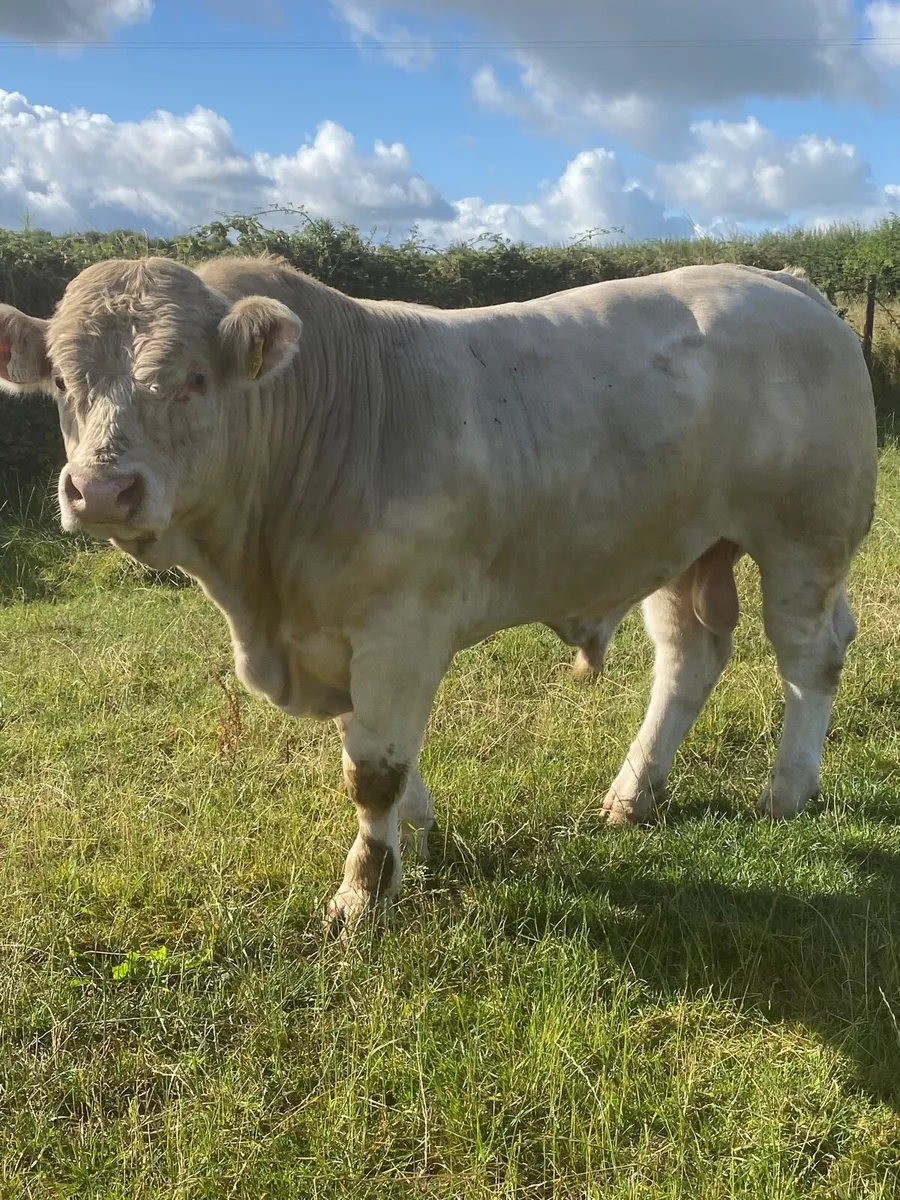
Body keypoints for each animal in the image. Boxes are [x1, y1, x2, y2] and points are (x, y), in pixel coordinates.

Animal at [0, 257, 878, 928]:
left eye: (192, 379)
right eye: (63, 382)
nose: (100, 491)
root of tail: (781, 281)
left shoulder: (398, 626)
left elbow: (372, 770)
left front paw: (361, 894)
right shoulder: (336, 633)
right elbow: (373, 745)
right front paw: (415, 840)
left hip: (805, 536)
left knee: (809, 657)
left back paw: (787, 790)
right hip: (680, 545)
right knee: (689, 657)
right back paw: (633, 793)